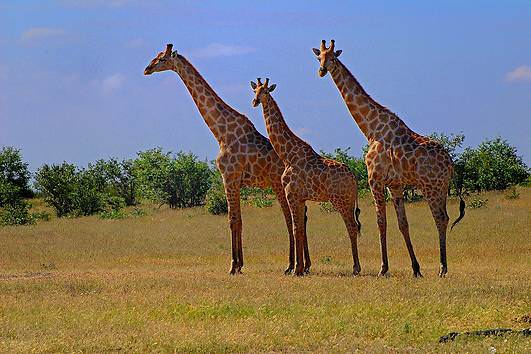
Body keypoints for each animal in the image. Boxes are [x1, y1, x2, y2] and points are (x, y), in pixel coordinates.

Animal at [144, 44, 312, 276]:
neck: (221, 133)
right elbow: (238, 220)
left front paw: (233, 266)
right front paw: (240, 264)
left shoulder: (229, 177)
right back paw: (305, 265)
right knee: (301, 217)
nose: (147, 69)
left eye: (161, 59)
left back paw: (291, 266)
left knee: (290, 218)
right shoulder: (235, 181)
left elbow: (232, 220)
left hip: (280, 186)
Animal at [250, 77, 362, 276]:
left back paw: (356, 268)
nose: (255, 101)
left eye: (266, 91)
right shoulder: (301, 198)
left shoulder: (292, 195)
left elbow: (296, 229)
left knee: (351, 226)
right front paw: (300, 268)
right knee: (354, 226)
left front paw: (296, 269)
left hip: (341, 200)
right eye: (254, 90)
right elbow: (301, 230)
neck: (287, 154)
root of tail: (354, 178)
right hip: (347, 200)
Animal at [314, 38, 468, 276]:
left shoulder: (375, 180)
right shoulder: (394, 185)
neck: (371, 129)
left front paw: (383, 268)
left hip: (431, 186)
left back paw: (443, 268)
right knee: (445, 217)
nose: (321, 70)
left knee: (441, 218)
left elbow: (381, 222)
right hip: (442, 187)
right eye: (319, 57)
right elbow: (402, 224)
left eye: (332, 58)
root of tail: (451, 163)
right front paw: (416, 269)